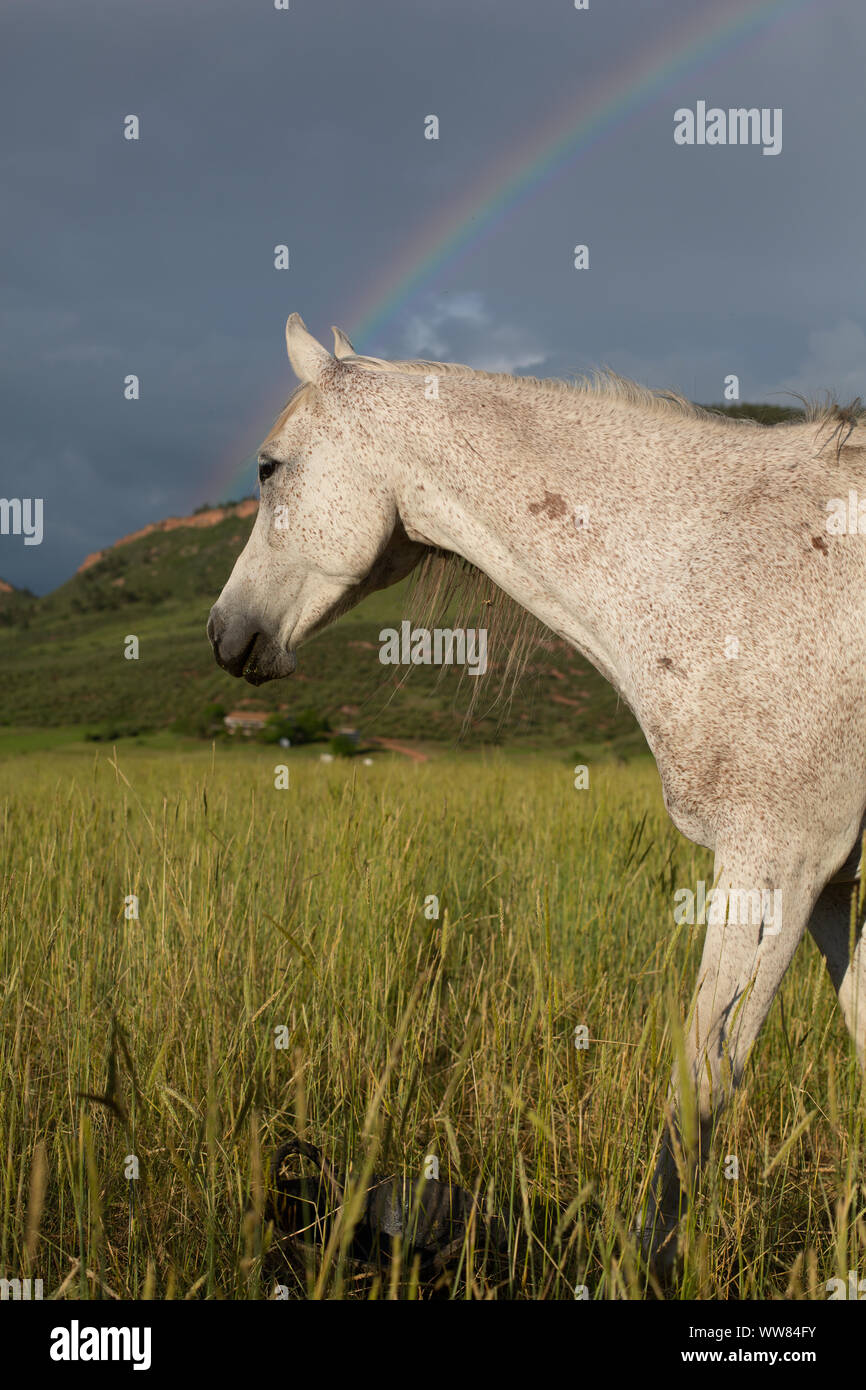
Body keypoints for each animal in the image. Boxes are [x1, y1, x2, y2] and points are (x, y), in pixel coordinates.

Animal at [208, 311, 866, 1273]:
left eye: (268, 466)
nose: (224, 634)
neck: (732, 566)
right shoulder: (836, 885)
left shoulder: (777, 862)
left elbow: (701, 1085)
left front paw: (650, 1268)